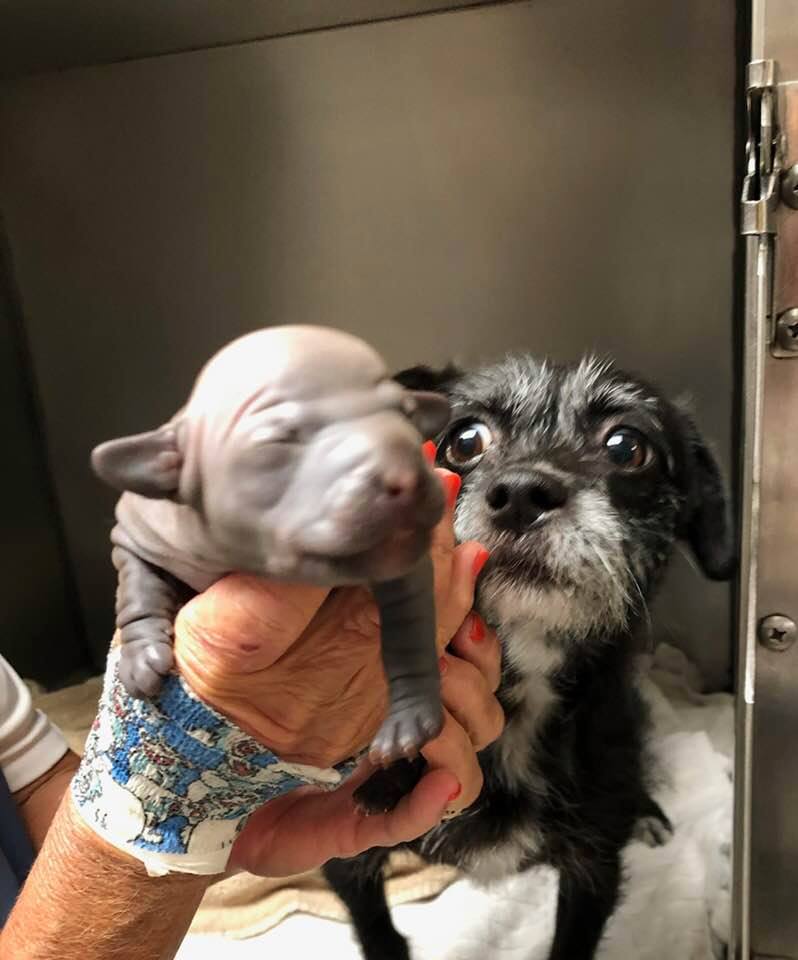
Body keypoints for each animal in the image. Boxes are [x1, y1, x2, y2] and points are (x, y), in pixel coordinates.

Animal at [91, 322, 454, 788]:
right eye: (280, 439)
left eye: (406, 414)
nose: (408, 476)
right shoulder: (137, 534)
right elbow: (138, 589)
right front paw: (141, 656)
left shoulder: (402, 564)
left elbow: (409, 632)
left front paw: (410, 716)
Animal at [322, 356, 736, 960]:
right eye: (465, 440)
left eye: (627, 446)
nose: (522, 493)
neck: (521, 688)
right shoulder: (348, 856)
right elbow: (380, 934)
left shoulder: (593, 867)